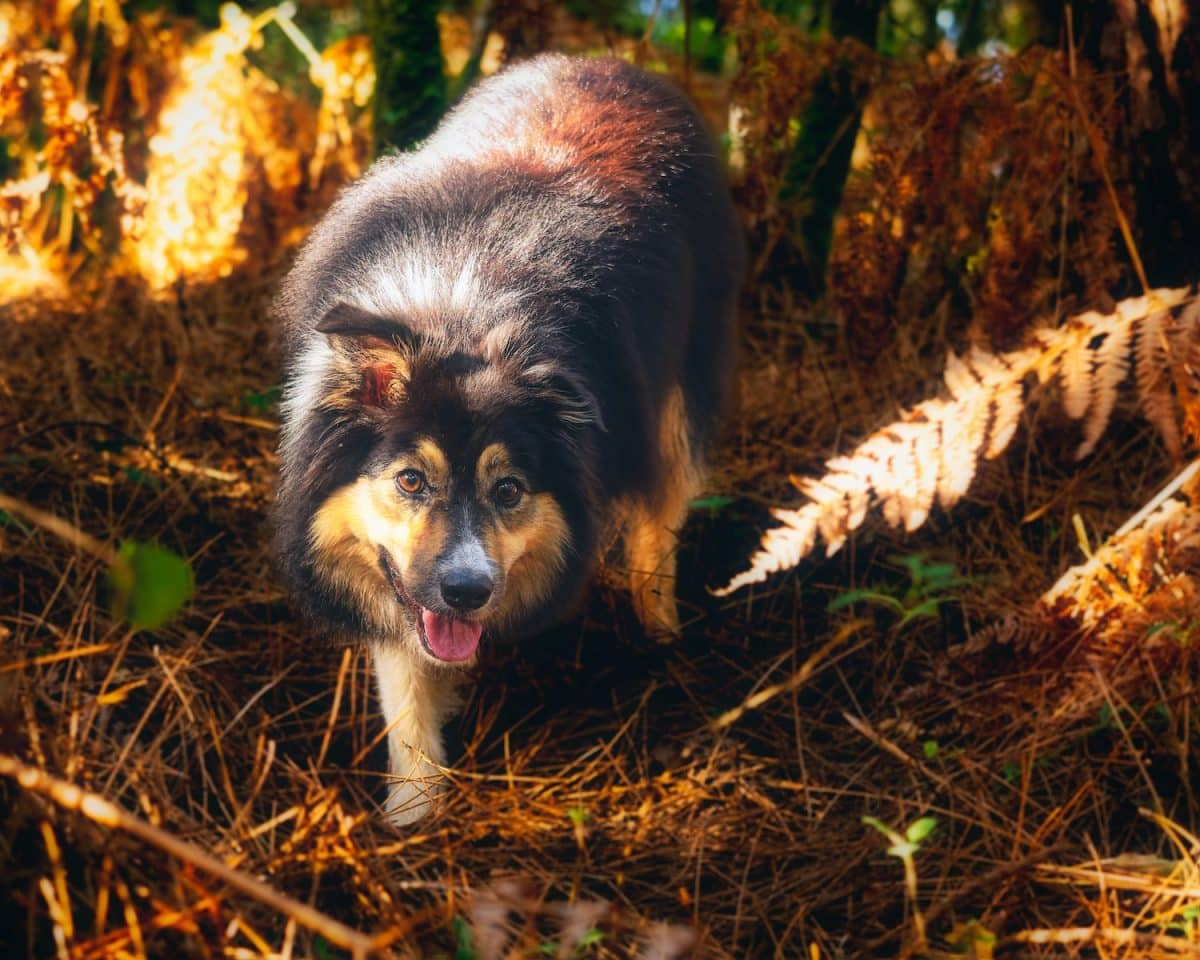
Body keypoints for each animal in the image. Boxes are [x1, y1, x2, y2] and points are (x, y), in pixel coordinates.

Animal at [274, 52, 739, 820]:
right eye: (410, 480)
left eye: (510, 490)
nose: (467, 592)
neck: (461, 315)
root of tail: (608, 63)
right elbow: (405, 690)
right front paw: (414, 813)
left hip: (682, 394)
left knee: (660, 521)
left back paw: (662, 635)